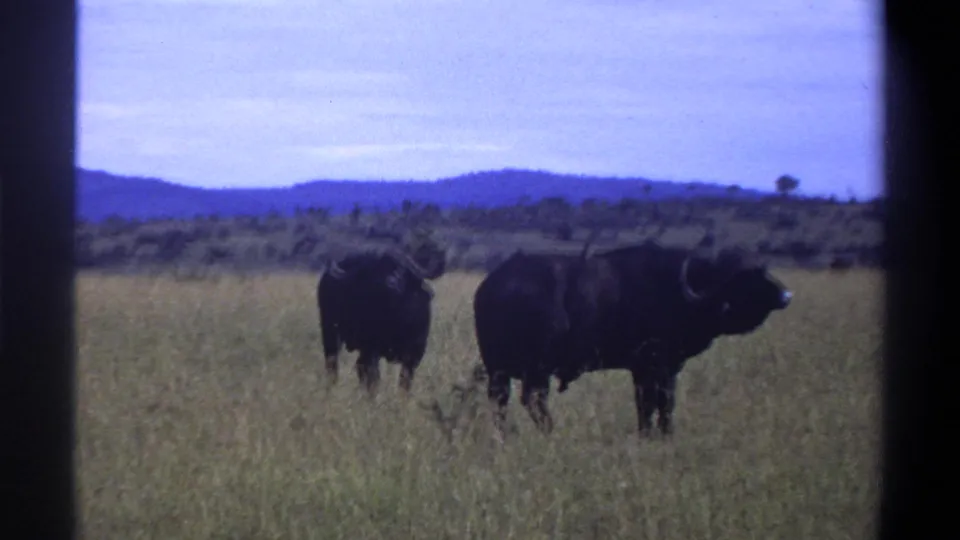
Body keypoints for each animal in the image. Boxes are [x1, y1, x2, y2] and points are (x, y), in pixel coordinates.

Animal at [317, 243, 446, 395]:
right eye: (375, 271)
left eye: (401, 269)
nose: (390, 283)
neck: (395, 320)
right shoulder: (371, 349)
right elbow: (373, 377)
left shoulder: (416, 351)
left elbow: (405, 379)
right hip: (330, 332)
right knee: (332, 362)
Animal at [473, 238, 792, 439]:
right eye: (746, 275)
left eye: (764, 268)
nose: (786, 295)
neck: (682, 293)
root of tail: (492, 286)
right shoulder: (657, 367)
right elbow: (660, 403)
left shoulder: (646, 371)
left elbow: (648, 406)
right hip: (536, 369)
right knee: (533, 400)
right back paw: (550, 431)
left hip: (499, 370)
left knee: (502, 402)